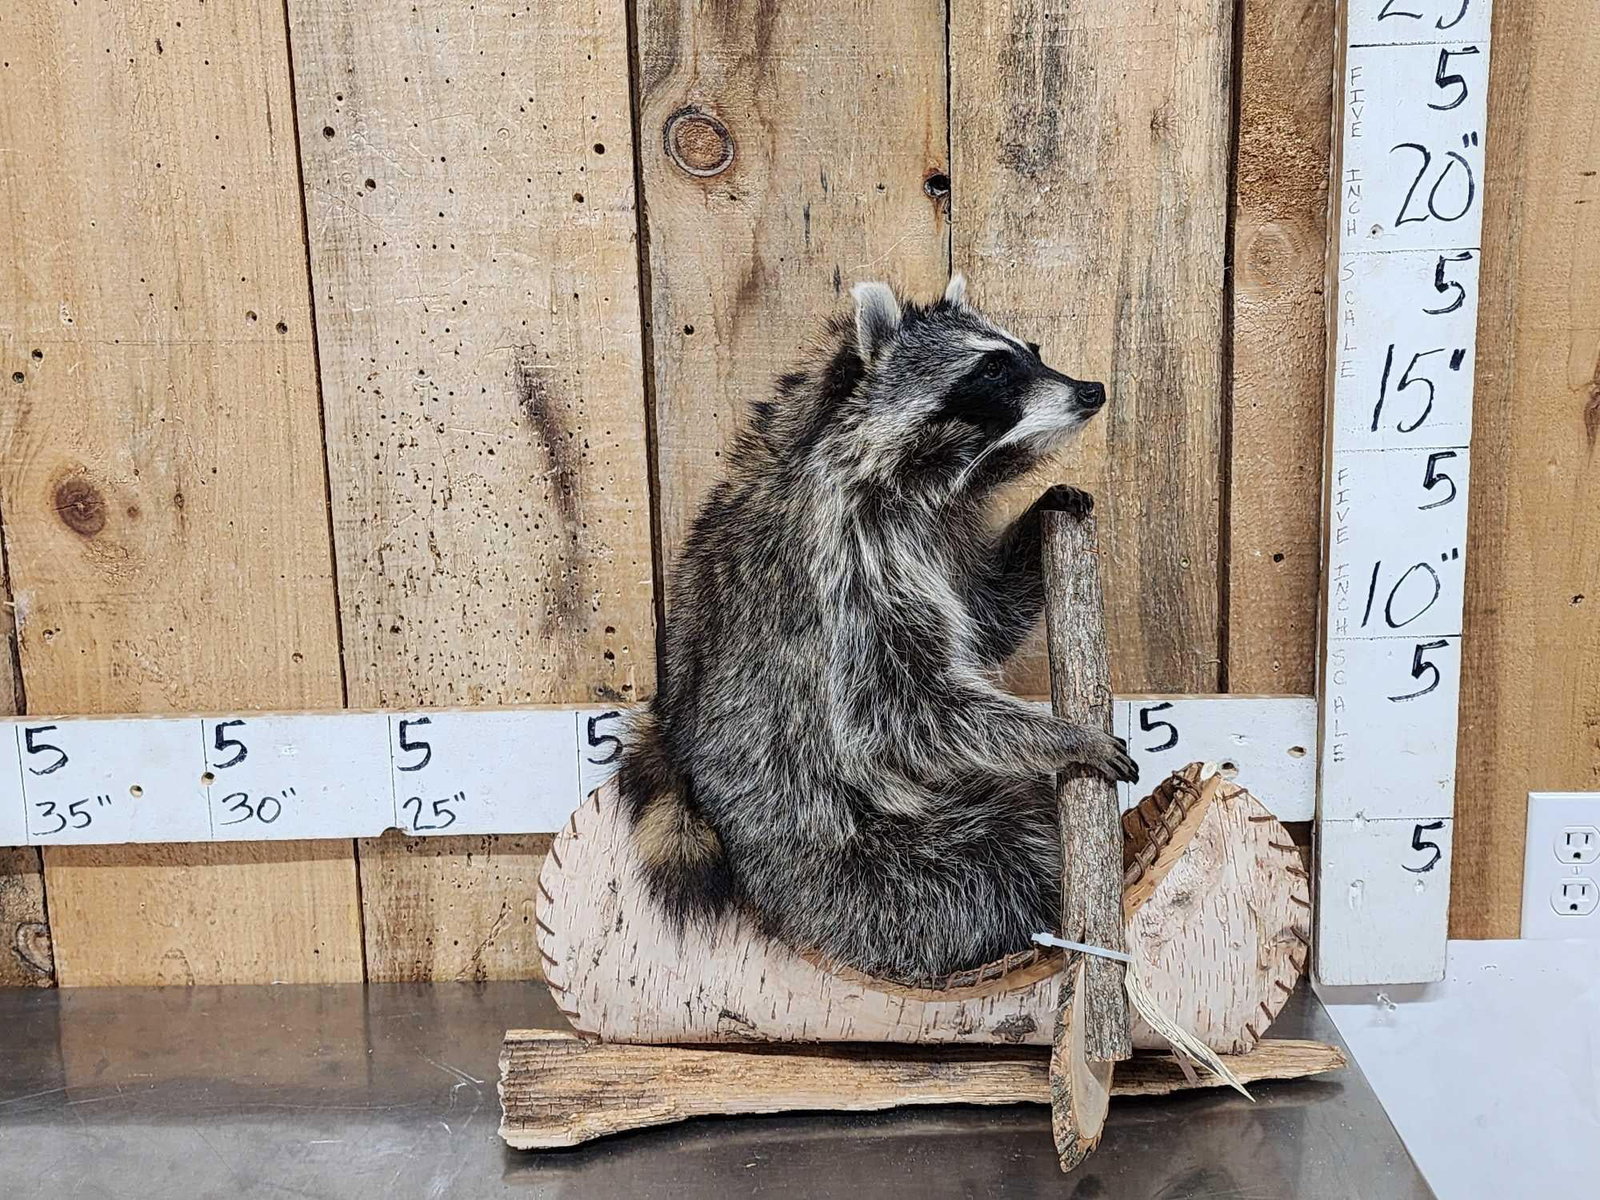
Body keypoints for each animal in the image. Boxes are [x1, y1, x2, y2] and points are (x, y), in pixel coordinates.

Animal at [619, 274, 1138, 983]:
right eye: (992, 369)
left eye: (1032, 351)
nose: (1090, 391)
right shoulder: (849, 559)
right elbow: (902, 705)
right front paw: (1063, 738)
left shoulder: (932, 531)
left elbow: (981, 620)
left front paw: (1036, 525)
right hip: (849, 861)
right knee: (994, 866)